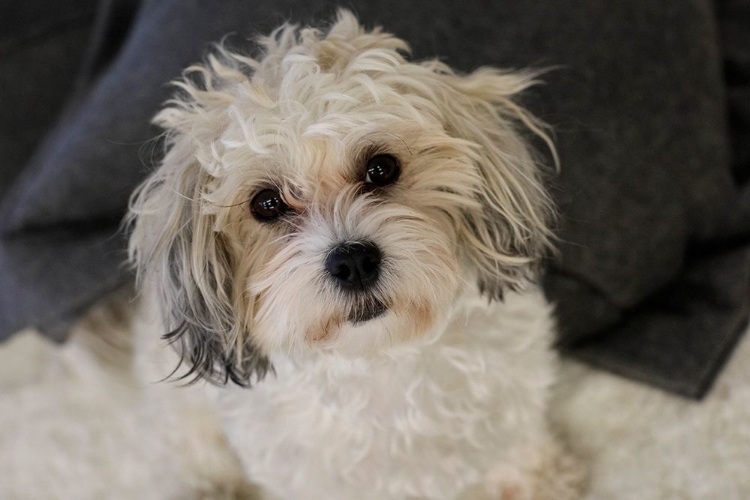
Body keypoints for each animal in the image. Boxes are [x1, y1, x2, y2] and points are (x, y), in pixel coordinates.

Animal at [129, 8, 584, 500]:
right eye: (266, 203)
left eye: (381, 168)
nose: (352, 262)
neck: (382, 356)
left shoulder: (510, 401)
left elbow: (517, 444)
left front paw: (540, 480)